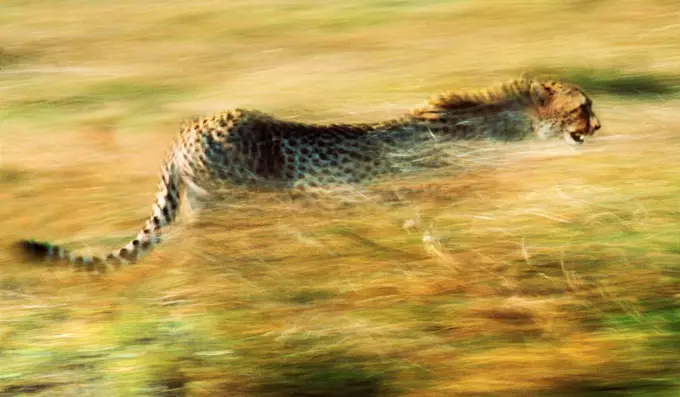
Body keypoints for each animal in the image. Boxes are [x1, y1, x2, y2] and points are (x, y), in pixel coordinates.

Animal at [15, 74, 600, 272]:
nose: (598, 125)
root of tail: (187, 128)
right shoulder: (419, 194)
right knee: (214, 246)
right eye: (583, 106)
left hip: (215, 204)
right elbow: (440, 233)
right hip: (239, 203)